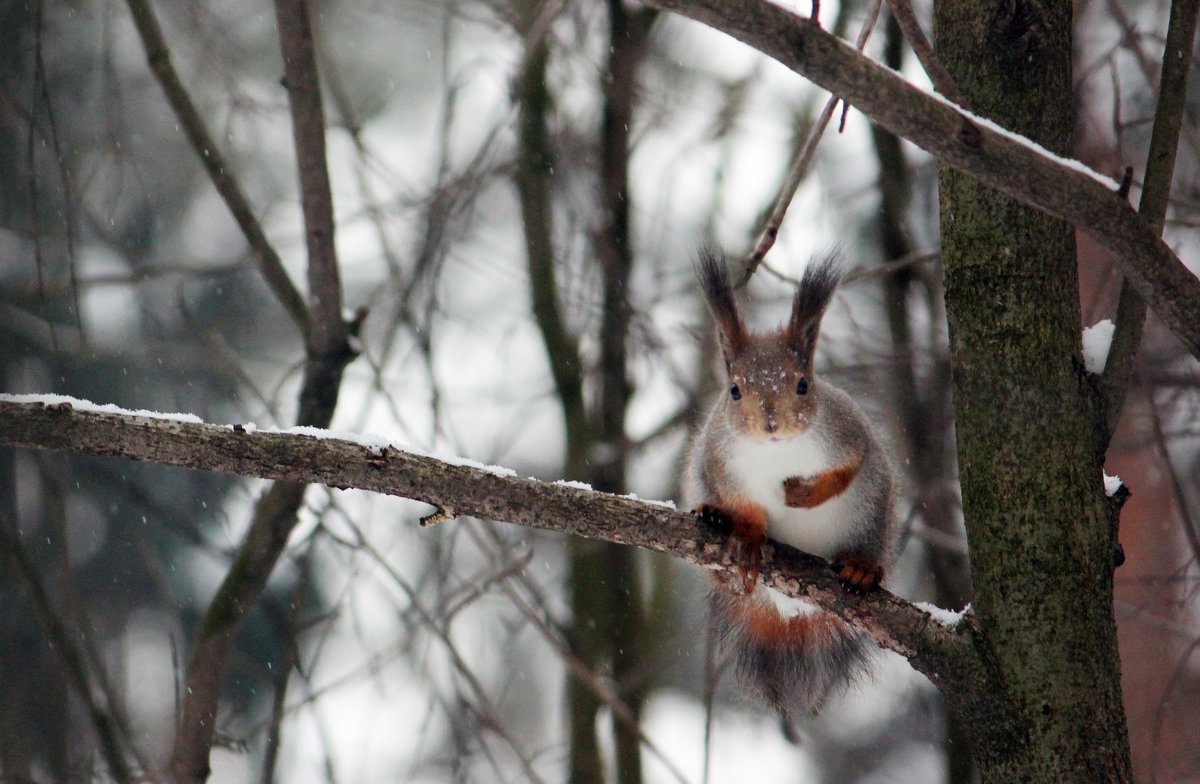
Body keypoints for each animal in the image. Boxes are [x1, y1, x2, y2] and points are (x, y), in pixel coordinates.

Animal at [686, 247, 902, 734]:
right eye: (734, 390)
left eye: (803, 384)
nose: (772, 425)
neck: (776, 455)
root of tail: (793, 610)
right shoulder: (718, 462)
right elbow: (746, 506)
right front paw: (748, 539)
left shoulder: (847, 434)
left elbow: (847, 470)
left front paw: (805, 496)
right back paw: (714, 518)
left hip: (873, 511)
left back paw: (862, 567)